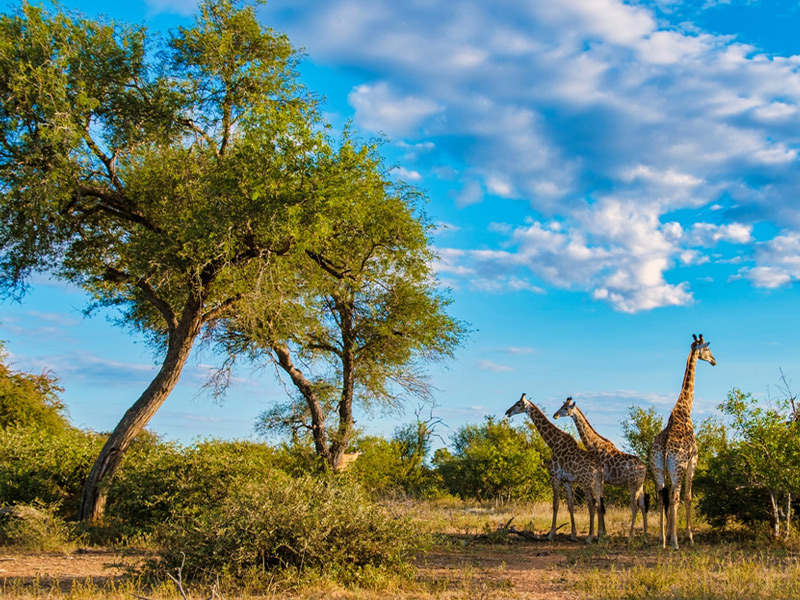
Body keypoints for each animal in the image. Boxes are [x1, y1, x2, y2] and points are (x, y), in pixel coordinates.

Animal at [506, 394, 608, 544]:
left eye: (519, 404)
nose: (507, 412)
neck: (552, 443)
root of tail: (599, 468)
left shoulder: (554, 476)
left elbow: (555, 504)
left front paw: (551, 534)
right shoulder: (567, 480)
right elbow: (570, 505)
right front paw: (573, 535)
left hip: (586, 482)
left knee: (592, 504)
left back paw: (590, 537)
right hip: (598, 483)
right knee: (600, 504)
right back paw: (600, 535)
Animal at [556, 396, 648, 540]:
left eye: (566, 408)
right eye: (562, 406)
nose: (555, 415)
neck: (594, 445)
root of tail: (645, 468)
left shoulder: (602, 478)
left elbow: (600, 503)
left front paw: (601, 534)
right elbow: (601, 503)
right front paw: (603, 533)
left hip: (633, 484)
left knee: (635, 506)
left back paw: (630, 536)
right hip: (640, 484)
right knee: (643, 505)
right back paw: (644, 535)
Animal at [652, 332, 716, 548]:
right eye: (707, 349)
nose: (714, 361)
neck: (684, 410)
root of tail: (664, 448)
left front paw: (669, 534)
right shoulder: (692, 461)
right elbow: (688, 497)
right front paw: (688, 536)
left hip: (658, 468)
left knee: (662, 496)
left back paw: (663, 539)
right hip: (678, 467)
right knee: (676, 497)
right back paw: (675, 542)